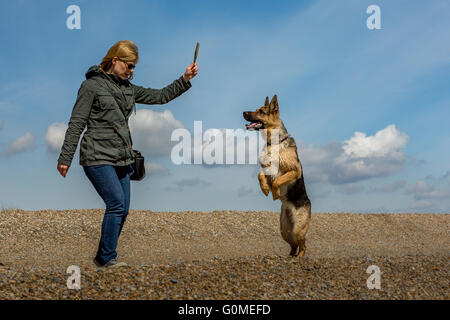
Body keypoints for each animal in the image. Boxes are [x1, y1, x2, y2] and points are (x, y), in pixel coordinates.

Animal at [244, 95, 312, 258]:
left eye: (261, 111)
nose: (243, 112)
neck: (274, 142)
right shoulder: (267, 168)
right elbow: (260, 175)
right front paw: (264, 189)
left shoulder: (294, 171)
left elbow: (277, 181)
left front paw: (274, 193)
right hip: (284, 230)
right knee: (293, 246)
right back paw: (289, 257)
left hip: (298, 229)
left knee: (303, 246)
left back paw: (299, 258)